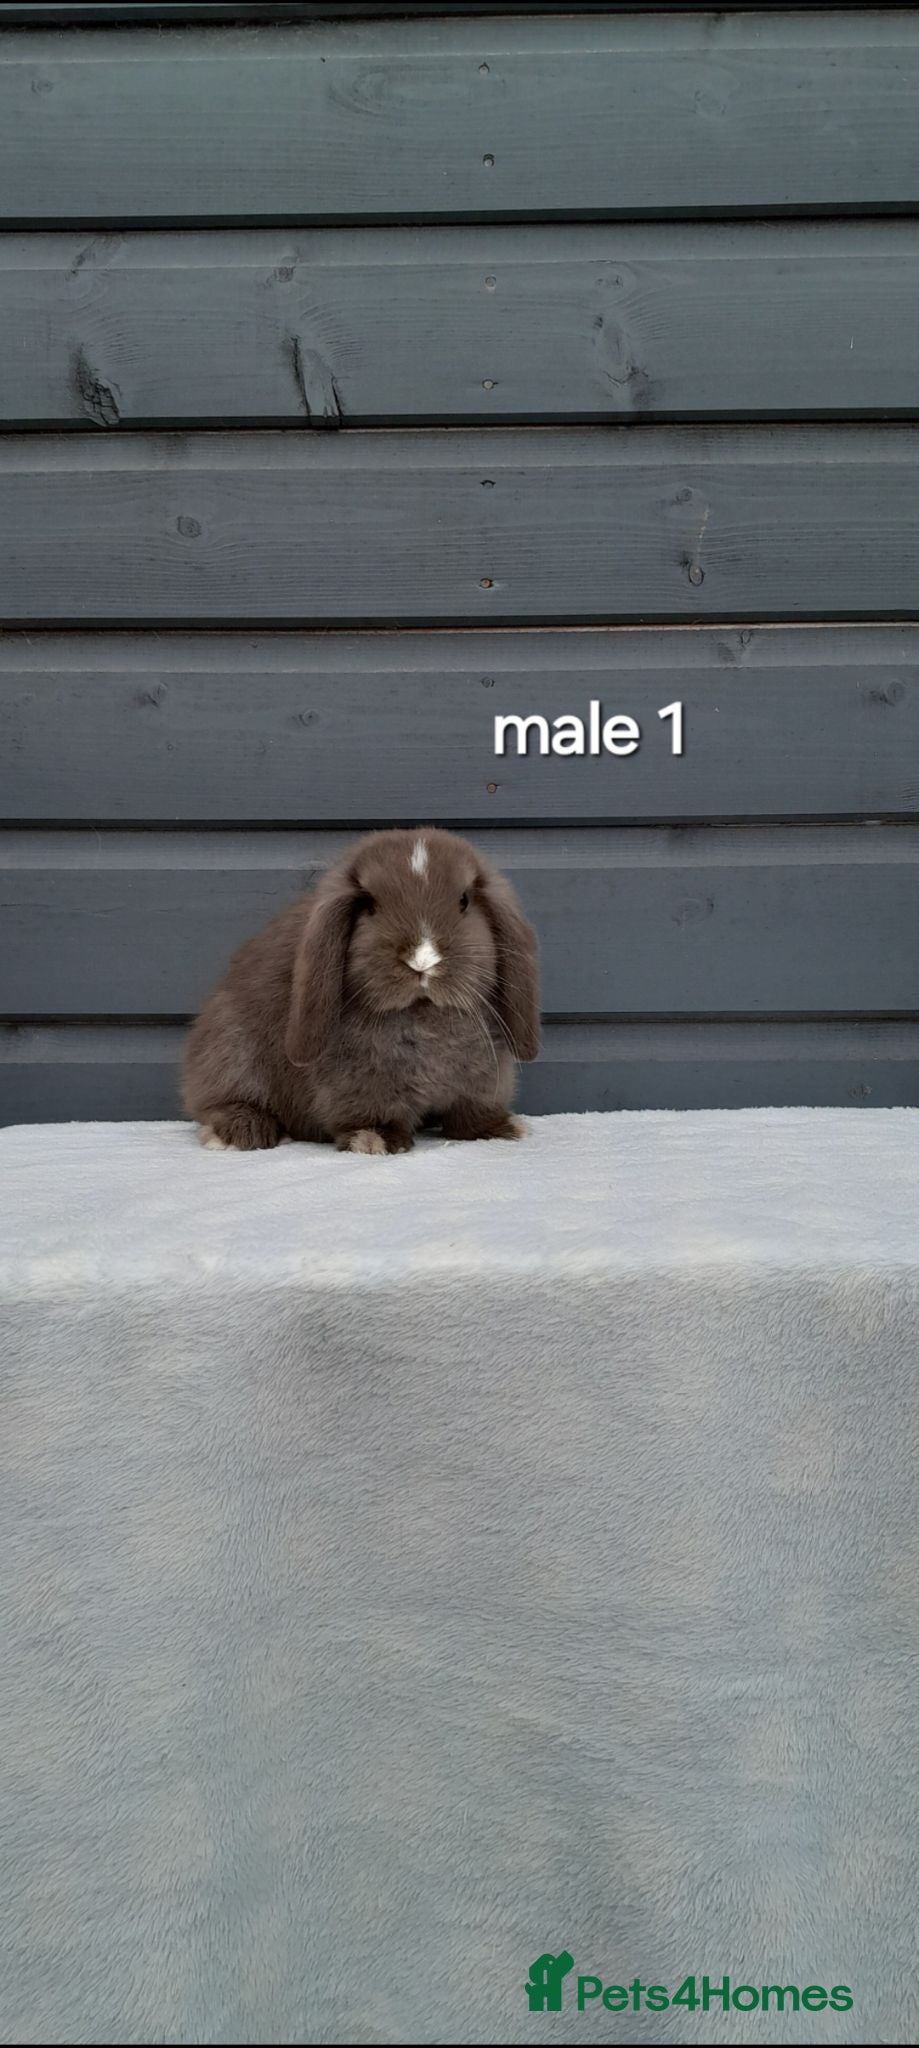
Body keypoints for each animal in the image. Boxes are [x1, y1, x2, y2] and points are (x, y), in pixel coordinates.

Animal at [182, 827, 540, 1155]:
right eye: (370, 905)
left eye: (464, 901)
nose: (422, 959)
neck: (423, 1014)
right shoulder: (359, 1082)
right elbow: (368, 1113)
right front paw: (374, 1139)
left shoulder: (484, 1080)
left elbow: (472, 1112)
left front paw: (499, 1129)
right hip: (230, 1051)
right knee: (219, 1101)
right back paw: (241, 1132)